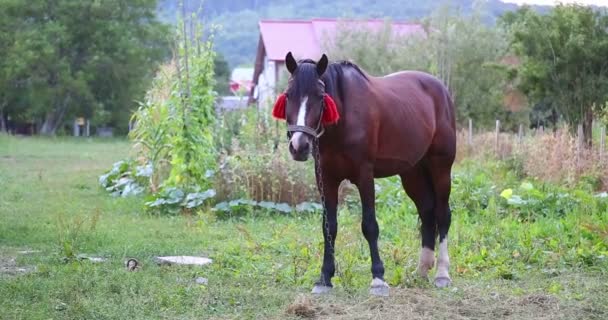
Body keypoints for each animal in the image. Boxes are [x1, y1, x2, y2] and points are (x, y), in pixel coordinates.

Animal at [272, 52, 456, 296]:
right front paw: (325, 278)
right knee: (427, 212)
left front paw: (378, 278)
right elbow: (329, 227)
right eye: (288, 95)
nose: (299, 146)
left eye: (320, 96)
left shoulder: (365, 177)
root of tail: (441, 90)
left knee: (443, 214)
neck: (344, 119)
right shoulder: (326, 179)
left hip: (440, 168)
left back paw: (442, 274)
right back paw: (422, 271)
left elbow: (369, 225)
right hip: (413, 173)